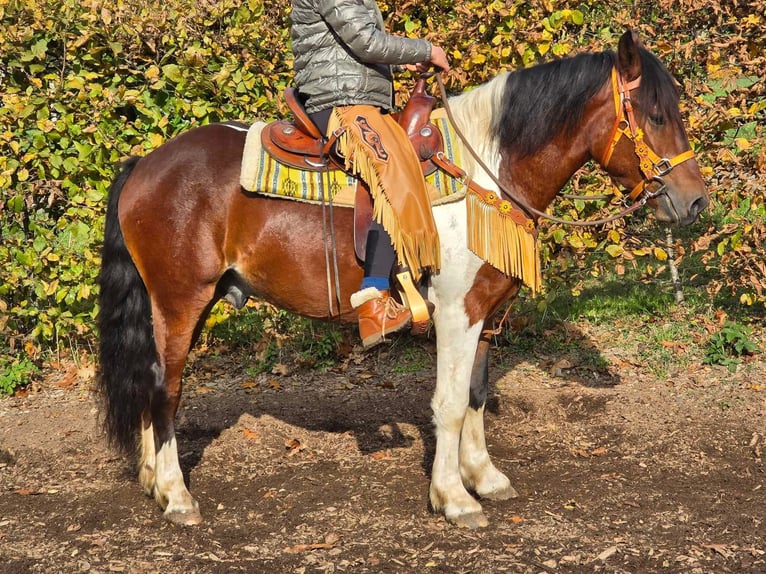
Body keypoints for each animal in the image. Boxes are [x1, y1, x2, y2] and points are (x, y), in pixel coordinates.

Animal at [99, 29, 712, 528]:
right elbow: (448, 402)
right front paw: (454, 498)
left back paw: (153, 481)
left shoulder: (484, 310)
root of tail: (144, 163)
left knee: (152, 379)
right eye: (656, 116)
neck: (487, 170)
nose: (695, 202)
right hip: (181, 300)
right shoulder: (455, 311)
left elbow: (475, 394)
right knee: (166, 388)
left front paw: (484, 477)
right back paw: (177, 496)